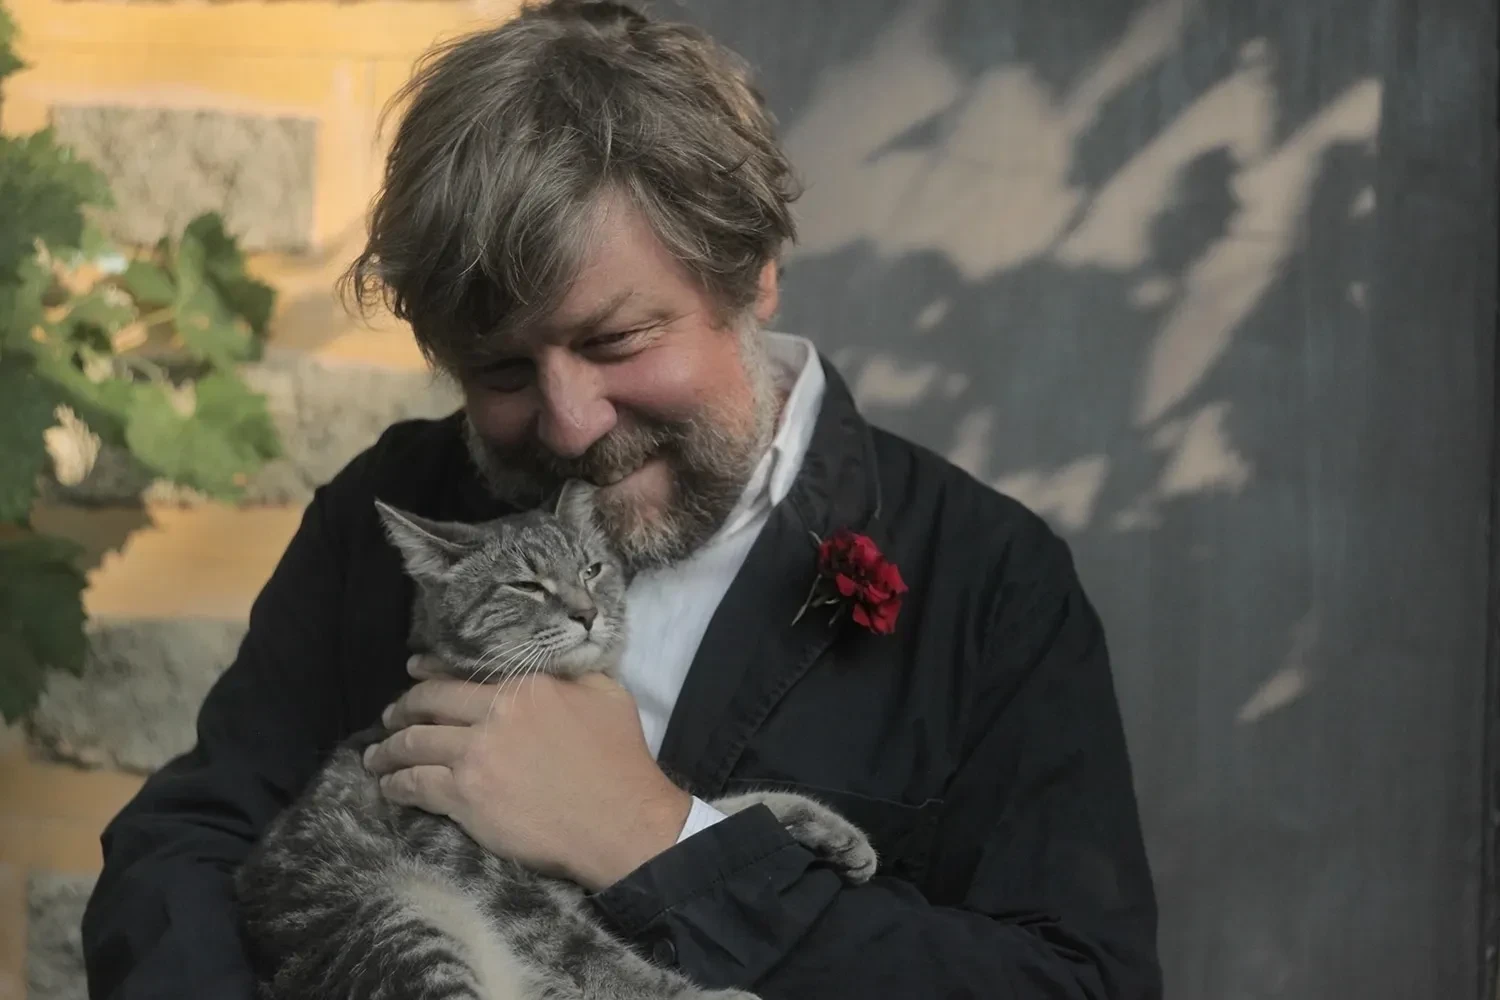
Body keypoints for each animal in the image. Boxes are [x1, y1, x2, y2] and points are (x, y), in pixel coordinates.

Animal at [234, 480, 877, 1000]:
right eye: (526, 585)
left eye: (592, 569)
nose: (588, 612)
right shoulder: (491, 877)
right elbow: (593, 956)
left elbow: (724, 809)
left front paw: (825, 824)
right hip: (399, 918)